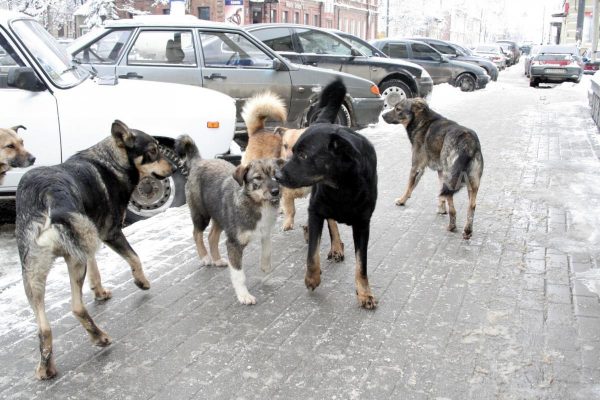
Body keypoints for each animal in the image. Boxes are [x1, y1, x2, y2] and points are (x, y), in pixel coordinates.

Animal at [15, 120, 173, 380]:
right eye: (153, 150)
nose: (173, 167)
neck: (111, 161)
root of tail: (46, 194)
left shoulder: (89, 234)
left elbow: (95, 266)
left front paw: (99, 291)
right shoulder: (110, 232)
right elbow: (135, 257)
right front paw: (141, 281)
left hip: (33, 272)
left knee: (44, 327)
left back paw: (46, 367)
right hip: (72, 260)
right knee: (77, 307)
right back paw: (100, 338)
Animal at [176, 136, 284, 304]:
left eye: (276, 176)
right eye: (258, 178)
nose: (275, 192)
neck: (257, 204)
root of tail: (199, 161)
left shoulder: (265, 232)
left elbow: (267, 252)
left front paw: (266, 269)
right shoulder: (234, 243)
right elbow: (239, 274)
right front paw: (244, 295)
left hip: (220, 217)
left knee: (211, 236)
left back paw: (217, 259)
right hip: (201, 214)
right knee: (197, 233)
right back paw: (205, 257)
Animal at [276, 79, 378, 310]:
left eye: (304, 155)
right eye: (292, 151)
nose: (276, 175)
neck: (341, 186)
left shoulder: (363, 224)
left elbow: (362, 264)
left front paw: (364, 292)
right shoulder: (315, 211)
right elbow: (312, 254)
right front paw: (312, 278)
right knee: (330, 223)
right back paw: (335, 246)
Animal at [382, 98, 486, 239]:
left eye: (398, 109)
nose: (382, 115)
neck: (422, 121)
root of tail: (467, 142)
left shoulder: (417, 167)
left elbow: (409, 187)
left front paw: (402, 200)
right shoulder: (440, 171)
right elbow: (441, 192)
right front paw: (441, 209)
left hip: (451, 176)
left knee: (452, 205)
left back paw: (452, 227)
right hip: (472, 182)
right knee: (471, 205)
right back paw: (467, 231)